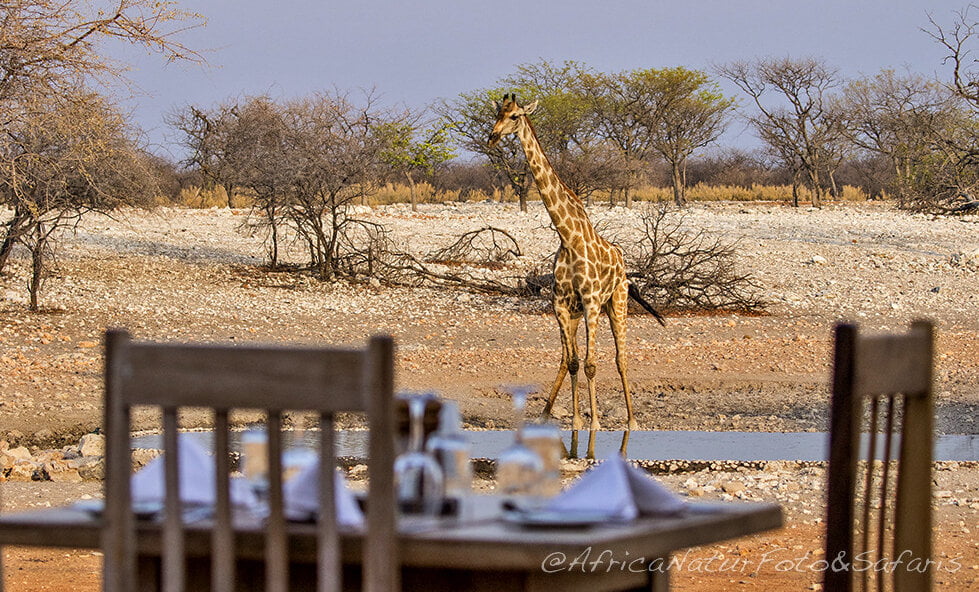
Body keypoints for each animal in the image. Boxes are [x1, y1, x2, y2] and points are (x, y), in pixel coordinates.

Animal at [490, 95, 668, 432]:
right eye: (497, 113)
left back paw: (632, 419)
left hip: (616, 303)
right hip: (577, 313)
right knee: (567, 358)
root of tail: (622, 260)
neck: (568, 237)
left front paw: (594, 422)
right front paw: (574, 420)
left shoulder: (591, 302)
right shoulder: (561, 304)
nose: (492, 137)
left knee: (621, 358)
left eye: (515, 116)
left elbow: (591, 364)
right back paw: (548, 413)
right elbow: (573, 362)